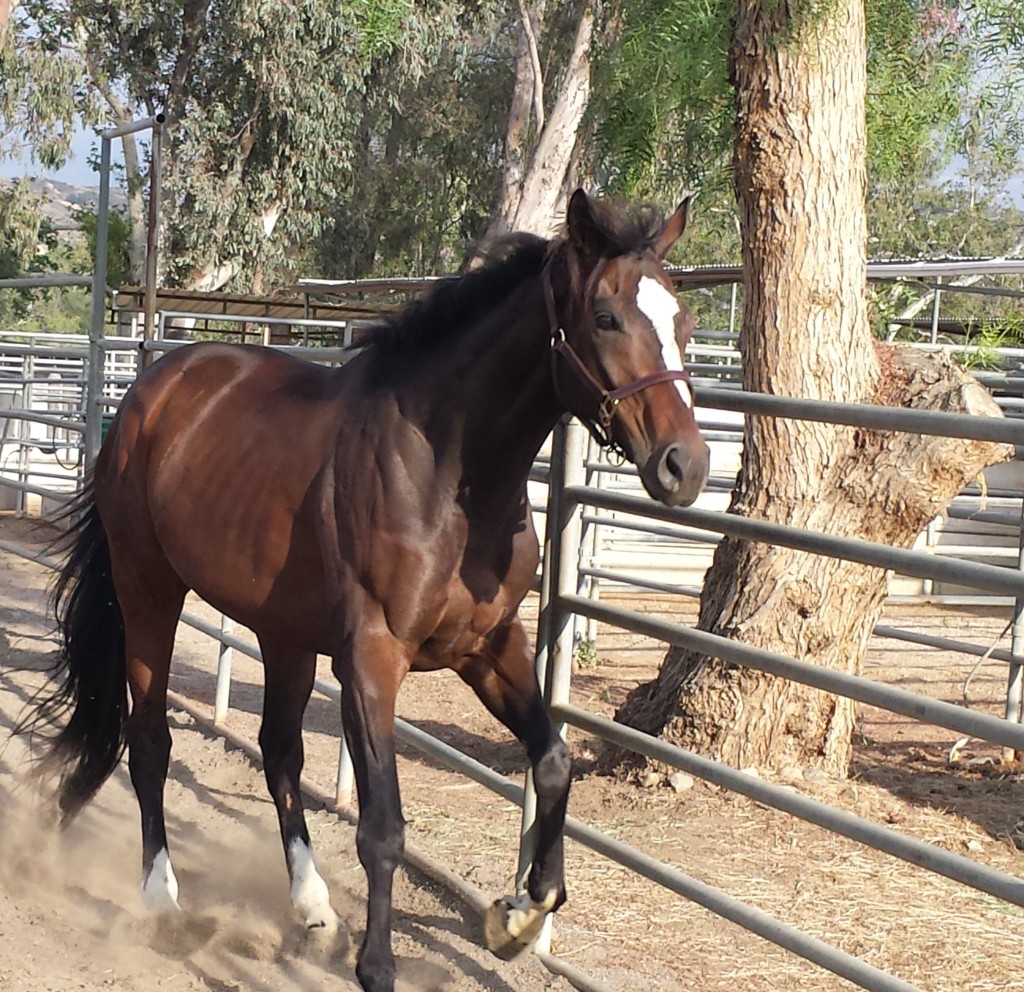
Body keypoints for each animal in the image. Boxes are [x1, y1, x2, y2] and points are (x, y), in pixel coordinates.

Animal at [28, 187, 708, 990]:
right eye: (606, 317)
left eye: (683, 321)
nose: (686, 465)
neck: (446, 474)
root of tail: (149, 391)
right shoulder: (372, 660)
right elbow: (383, 826)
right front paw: (379, 967)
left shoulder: (489, 646)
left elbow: (553, 762)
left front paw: (518, 916)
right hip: (148, 592)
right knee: (150, 740)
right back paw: (163, 899)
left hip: (283, 634)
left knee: (280, 754)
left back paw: (314, 909)